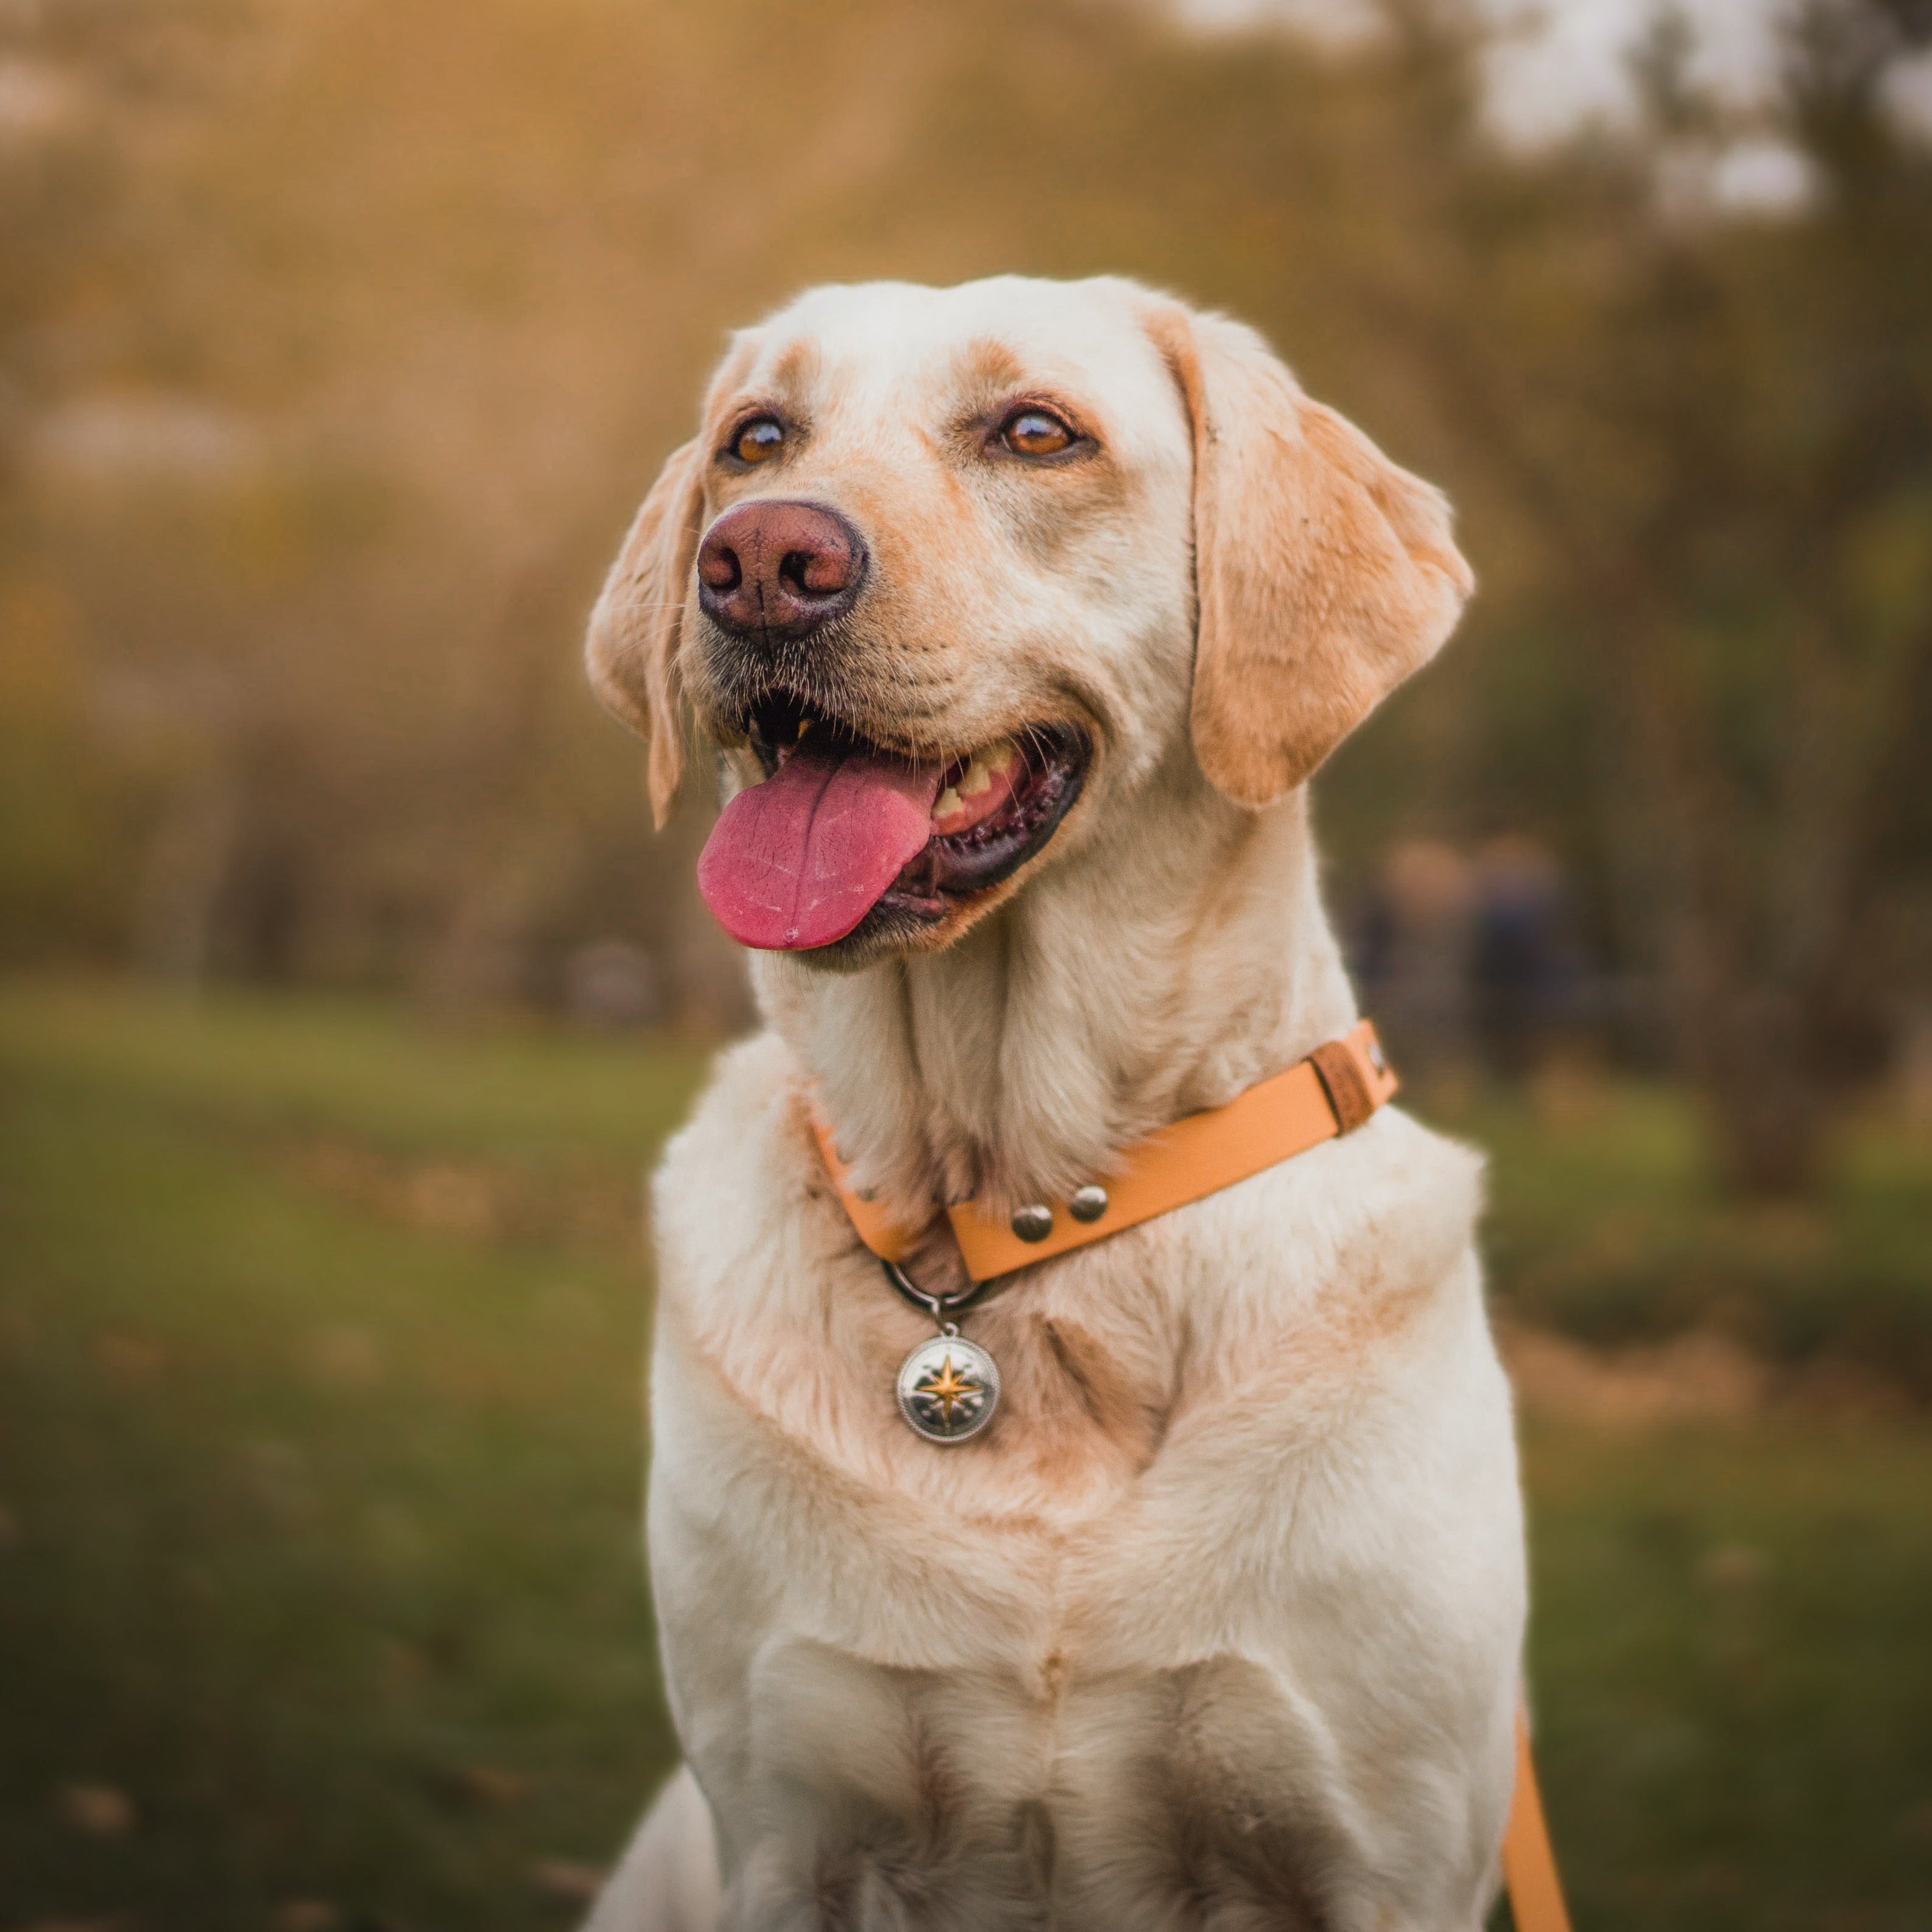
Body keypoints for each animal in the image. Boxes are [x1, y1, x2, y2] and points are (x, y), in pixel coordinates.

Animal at [576, 276, 1522, 1932]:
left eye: (1035, 433)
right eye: (755, 438)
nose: (756, 563)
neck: (1008, 1210)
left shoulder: (1388, 1853)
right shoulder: (788, 1833)